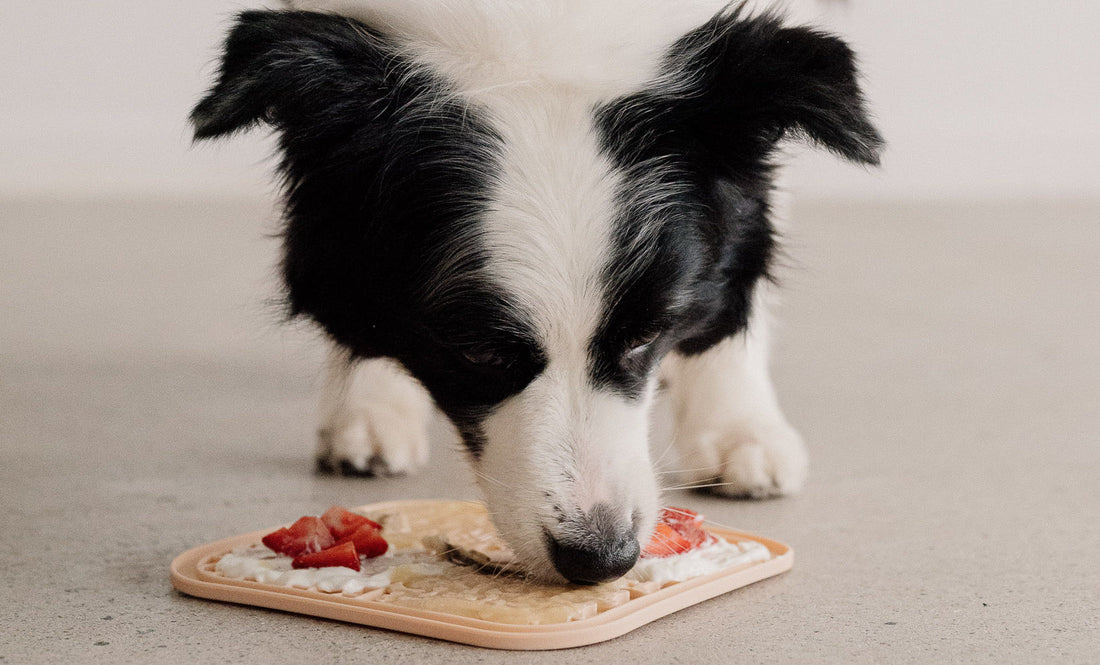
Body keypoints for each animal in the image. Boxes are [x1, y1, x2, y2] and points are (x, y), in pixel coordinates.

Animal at [191, 0, 884, 580]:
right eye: (477, 352)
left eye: (650, 332)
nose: (603, 560)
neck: (536, 28)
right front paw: (369, 402)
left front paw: (739, 426)